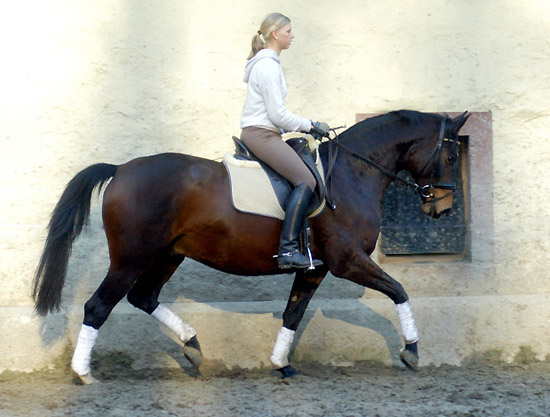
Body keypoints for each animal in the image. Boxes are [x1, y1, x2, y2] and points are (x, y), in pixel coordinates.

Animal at [33, 109, 470, 382]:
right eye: (451, 154)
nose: (443, 208)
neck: (351, 174)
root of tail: (121, 169)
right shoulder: (347, 260)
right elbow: (399, 290)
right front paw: (412, 351)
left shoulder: (315, 268)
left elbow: (293, 313)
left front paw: (282, 364)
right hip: (130, 258)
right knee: (98, 306)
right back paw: (84, 374)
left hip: (169, 255)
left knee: (143, 297)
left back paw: (193, 347)